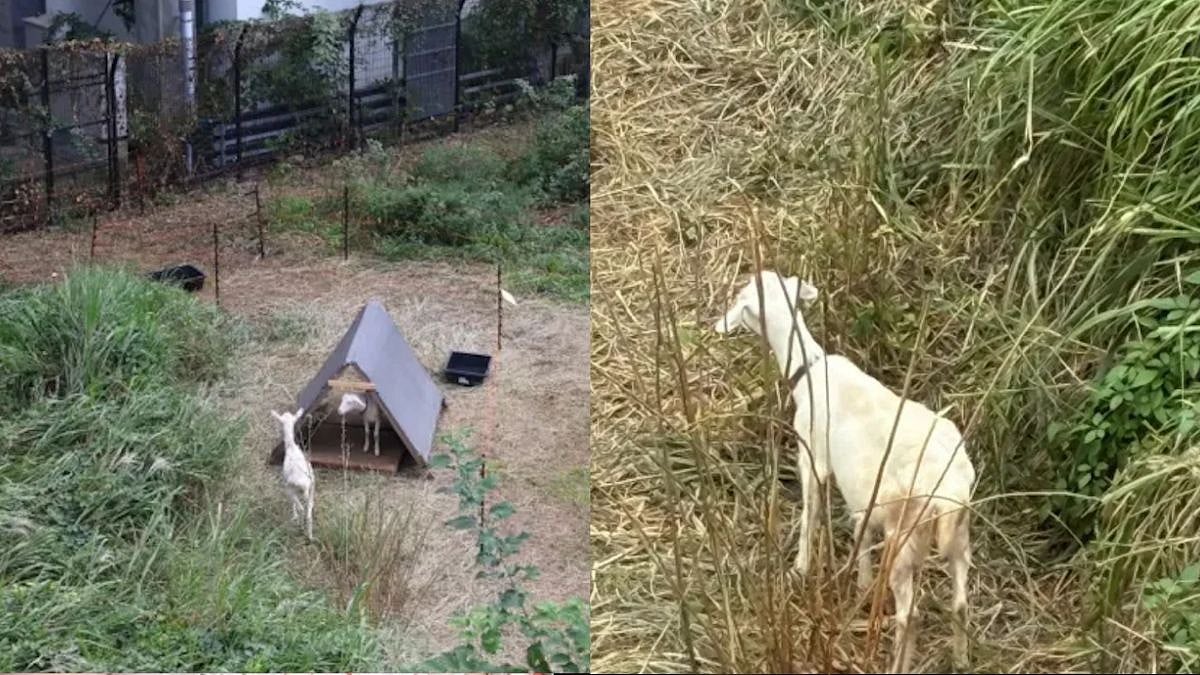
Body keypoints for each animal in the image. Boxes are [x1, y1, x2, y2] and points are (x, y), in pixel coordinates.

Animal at [271, 407, 314, 541]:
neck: (291, 447)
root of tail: (303, 484)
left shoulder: (287, 487)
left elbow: (293, 505)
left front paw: (294, 516)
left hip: (290, 489)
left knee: (301, 508)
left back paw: (300, 526)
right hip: (312, 489)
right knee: (309, 512)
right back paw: (310, 536)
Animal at [712, 270, 975, 673]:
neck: (808, 368)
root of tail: (949, 490)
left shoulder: (813, 459)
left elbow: (810, 513)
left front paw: (799, 569)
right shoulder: (863, 495)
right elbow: (860, 532)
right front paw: (863, 582)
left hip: (905, 537)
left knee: (910, 616)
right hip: (959, 535)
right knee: (960, 603)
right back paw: (960, 659)